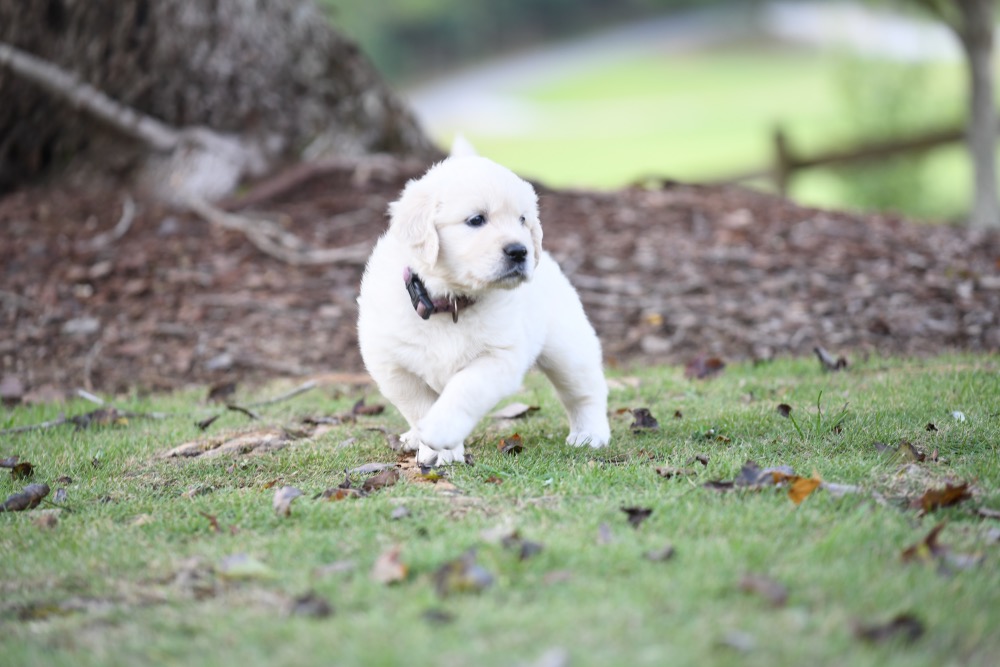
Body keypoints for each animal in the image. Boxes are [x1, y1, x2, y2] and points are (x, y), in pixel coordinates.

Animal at [360, 149, 608, 468]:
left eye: (522, 219)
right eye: (477, 219)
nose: (520, 251)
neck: (451, 301)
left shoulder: (500, 356)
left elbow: (465, 389)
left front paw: (440, 433)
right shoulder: (393, 366)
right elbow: (418, 405)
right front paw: (436, 447)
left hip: (568, 349)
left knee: (585, 392)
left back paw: (590, 434)